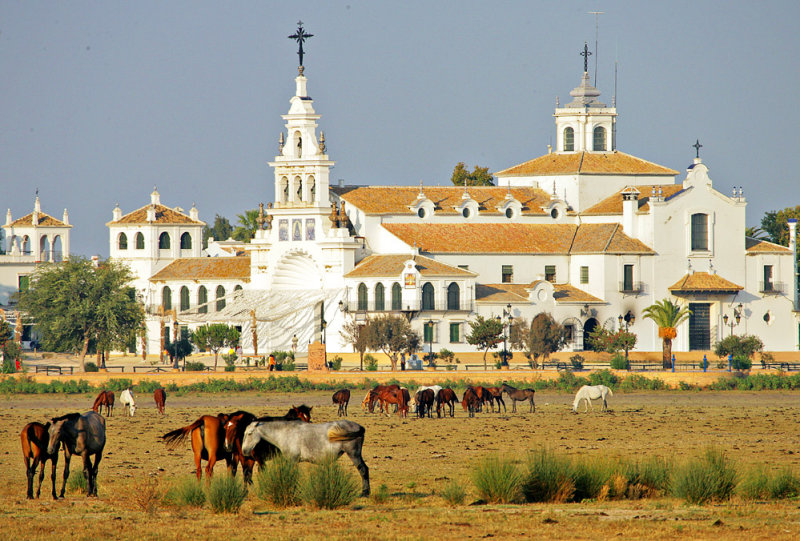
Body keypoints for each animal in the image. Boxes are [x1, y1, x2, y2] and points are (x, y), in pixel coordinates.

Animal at [242, 418, 370, 498]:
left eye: (249, 433)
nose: (244, 451)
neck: (285, 433)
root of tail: (359, 426)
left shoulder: (292, 461)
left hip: (354, 454)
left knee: (363, 470)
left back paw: (364, 493)